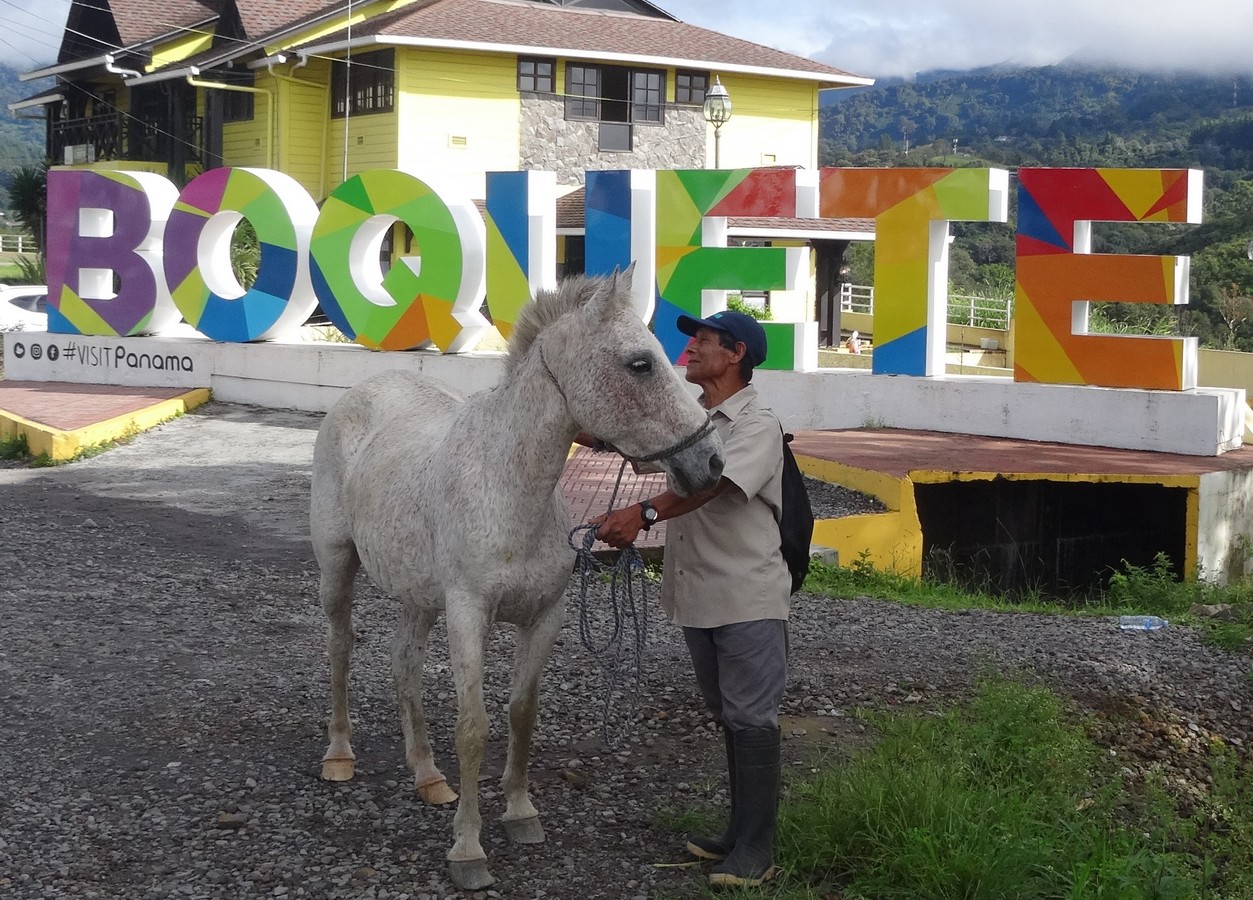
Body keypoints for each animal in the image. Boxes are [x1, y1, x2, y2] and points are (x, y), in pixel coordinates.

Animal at [309, 269, 725, 890]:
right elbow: (474, 727)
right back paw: (339, 756)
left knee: (404, 663)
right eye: (640, 363)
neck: (508, 484)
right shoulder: (467, 614)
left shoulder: (544, 616)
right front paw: (467, 849)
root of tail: (366, 391)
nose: (710, 463)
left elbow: (521, 714)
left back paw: (428, 776)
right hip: (338, 566)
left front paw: (521, 813)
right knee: (340, 648)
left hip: (418, 597)